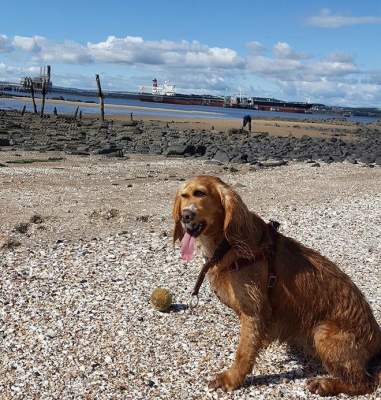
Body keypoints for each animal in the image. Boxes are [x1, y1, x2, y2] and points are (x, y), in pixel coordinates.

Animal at [172, 176, 380, 396]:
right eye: (184, 196)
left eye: (200, 193)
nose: (186, 216)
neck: (227, 245)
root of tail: (377, 337)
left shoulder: (253, 310)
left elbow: (243, 352)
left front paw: (231, 378)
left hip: (323, 332)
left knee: (365, 383)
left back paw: (325, 384)